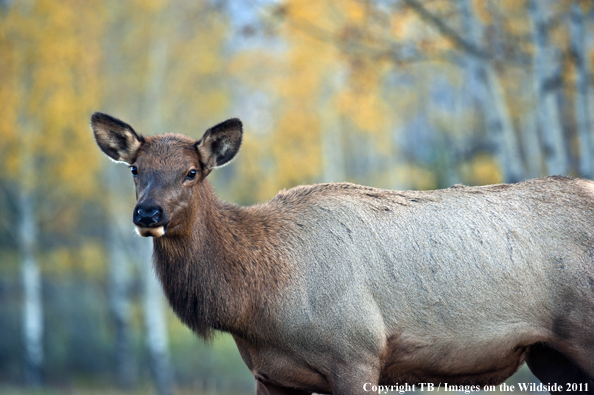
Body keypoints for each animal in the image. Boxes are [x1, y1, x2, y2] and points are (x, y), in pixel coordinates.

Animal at [91, 112, 592, 395]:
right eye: (135, 169)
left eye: (192, 171)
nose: (147, 212)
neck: (256, 305)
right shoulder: (270, 376)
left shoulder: (357, 355)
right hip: (549, 355)